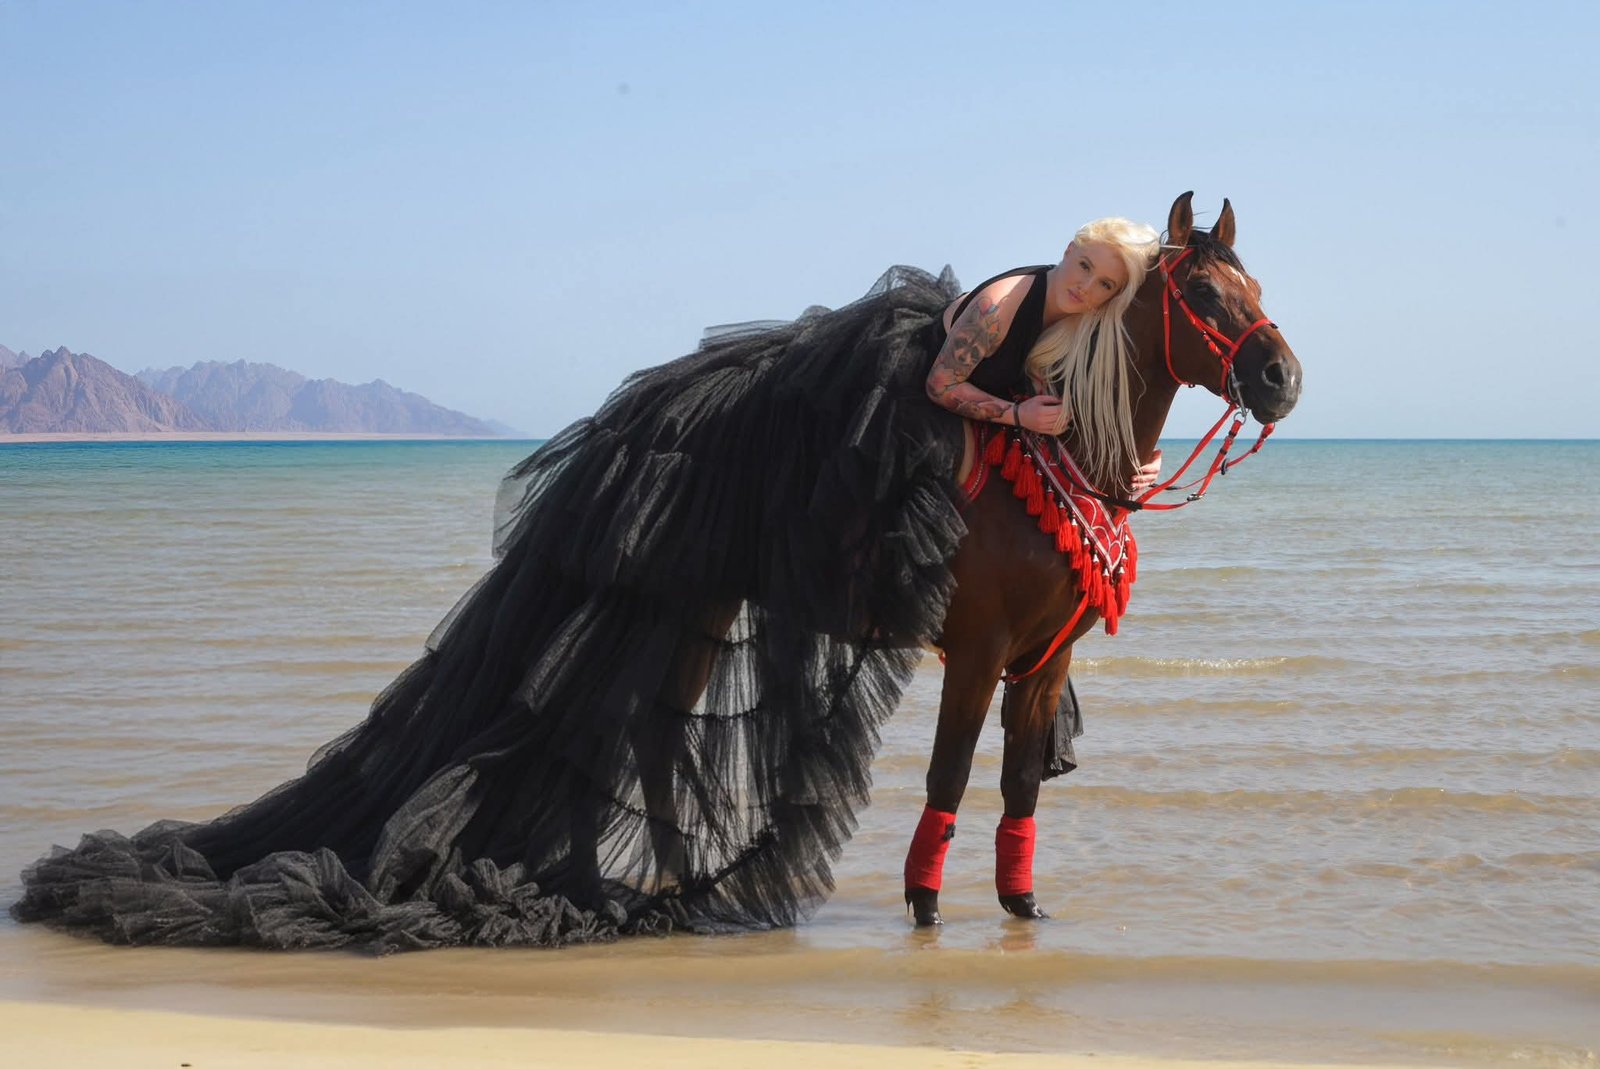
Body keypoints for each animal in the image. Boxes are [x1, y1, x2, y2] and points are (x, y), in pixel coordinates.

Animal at [904, 191, 1303, 925]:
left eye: (1256, 289)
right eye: (1203, 292)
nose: (1282, 379)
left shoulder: (1046, 658)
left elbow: (1021, 781)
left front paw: (1022, 900)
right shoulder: (977, 650)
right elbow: (950, 772)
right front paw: (924, 905)